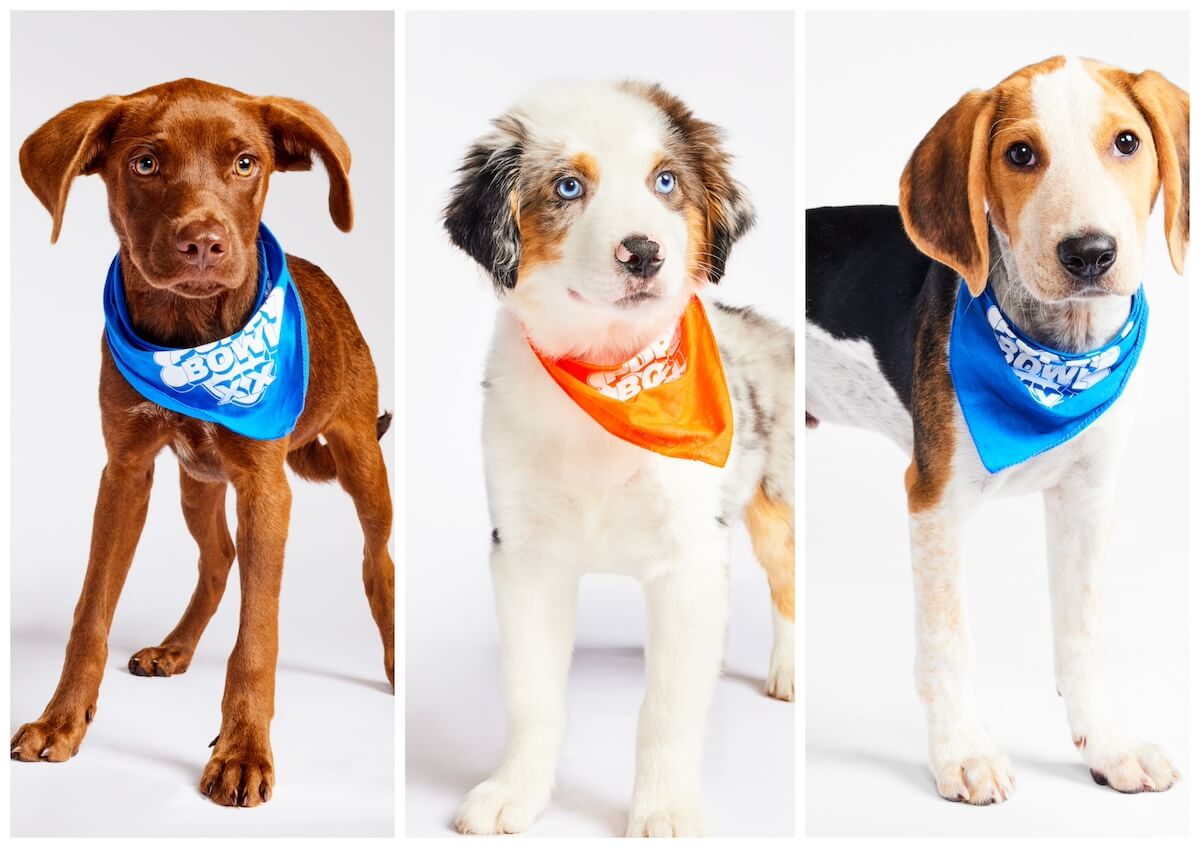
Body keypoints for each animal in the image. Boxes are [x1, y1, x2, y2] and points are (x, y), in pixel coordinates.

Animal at [10, 79, 393, 810]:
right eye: (144, 164)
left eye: (246, 163)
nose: (204, 243)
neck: (192, 337)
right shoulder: (125, 469)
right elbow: (90, 612)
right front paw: (62, 720)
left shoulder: (266, 489)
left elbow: (257, 637)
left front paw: (242, 751)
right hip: (196, 481)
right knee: (218, 557)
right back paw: (176, 648)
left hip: (362, 459)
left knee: (376, 561)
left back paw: (391, 663)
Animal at [446, 82, 792, 839]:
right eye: (568, 186)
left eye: (666, 182)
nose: (643, 254)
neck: (613, 374)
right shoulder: (524, 554)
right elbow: (532, 694)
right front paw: (514, 792)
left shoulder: (688, 555)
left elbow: (667, 708)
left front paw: (663, 810)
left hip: (776, 507)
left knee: (788, 587)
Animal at [806, 58, 1190, 801]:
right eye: (1019, 155)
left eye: (1127, 143)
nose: (1089, 253)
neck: (1055, 359)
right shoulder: (935, 500)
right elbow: (949, 642)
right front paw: (962, 752)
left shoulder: (1086, 498)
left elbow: (1082, 637)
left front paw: (1108, 746)